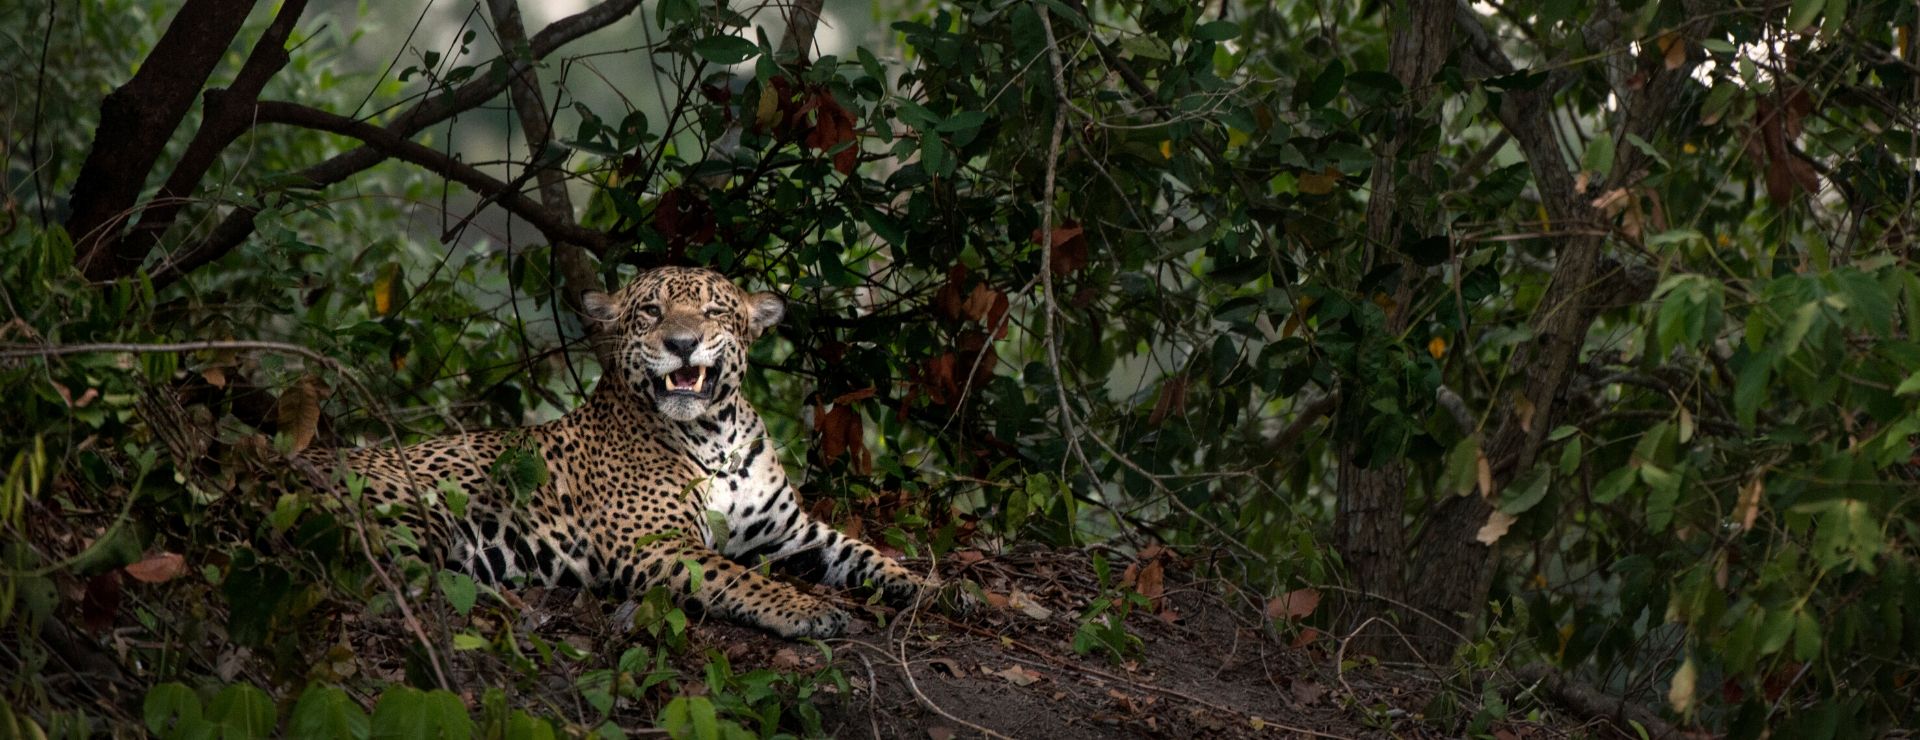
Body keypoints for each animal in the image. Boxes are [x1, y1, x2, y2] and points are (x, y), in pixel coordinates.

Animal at [298, 266, 955, 639]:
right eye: (651, 311)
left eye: (713, 311)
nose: (682, 343)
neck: (715, 436)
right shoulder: (657, 542)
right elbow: (741, 579)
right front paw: (805, 610)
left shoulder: (791, 533)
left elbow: (867, 554)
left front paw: (939, 590)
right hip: (414, 510)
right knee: (385, 576)